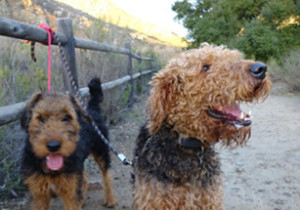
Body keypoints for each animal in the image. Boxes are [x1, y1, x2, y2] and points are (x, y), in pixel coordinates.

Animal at [20, 78, 116, 209]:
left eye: (67, 117)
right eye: (40, 118)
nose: (53, 146)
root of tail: (92, 108)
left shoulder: (70, 193)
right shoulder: (39, 195)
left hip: (102, 150)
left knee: (107, 175)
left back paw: (110, 200)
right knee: (84, 176)